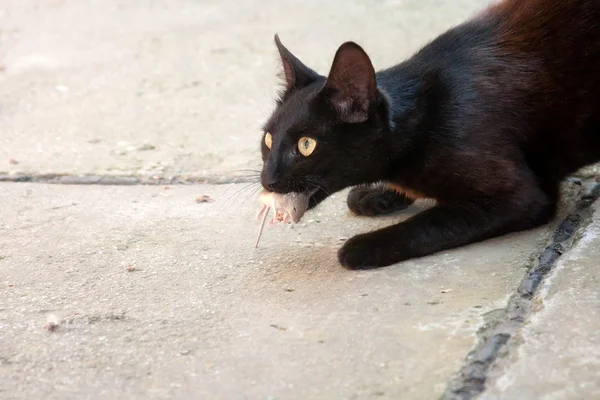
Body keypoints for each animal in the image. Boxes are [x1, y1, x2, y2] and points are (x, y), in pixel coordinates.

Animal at [260, 0, 600, 270]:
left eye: (306, 145)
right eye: (267, 140)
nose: (267, 179)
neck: (424, 114)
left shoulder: (524, 196)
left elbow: (432, 222)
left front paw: (366, 245)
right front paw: (377, 194)